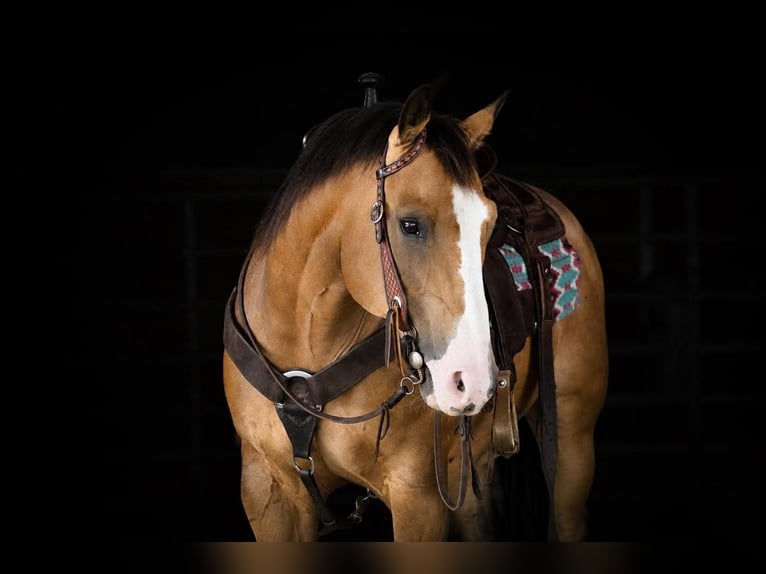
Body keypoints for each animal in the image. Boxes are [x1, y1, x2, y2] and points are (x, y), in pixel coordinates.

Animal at [222, 80, 608, 541]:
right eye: (410, 225)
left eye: (488, 225)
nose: (471, 382)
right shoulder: (266, 490)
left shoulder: (417, 496)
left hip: (571, 439)